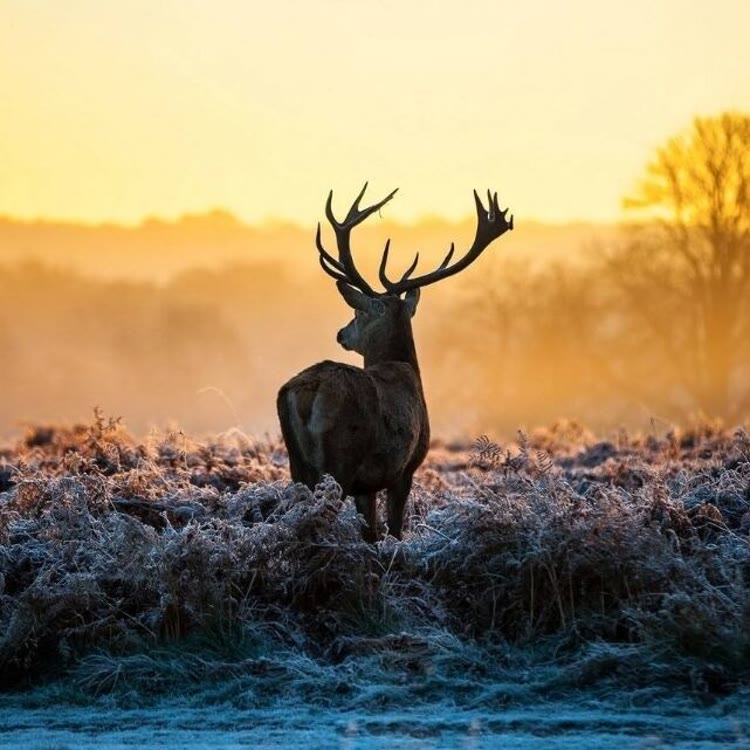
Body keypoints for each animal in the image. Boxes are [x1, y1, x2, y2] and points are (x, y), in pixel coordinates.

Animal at [280, 185, 516, 544]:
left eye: (357, 312)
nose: (341, 333)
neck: (404, 368)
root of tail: (307, 390)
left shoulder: (368, 485)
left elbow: (371, 532)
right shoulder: (404, 468)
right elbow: (393, 529)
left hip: (298, 465)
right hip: (340, 461)